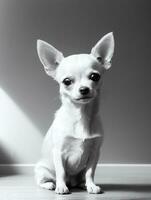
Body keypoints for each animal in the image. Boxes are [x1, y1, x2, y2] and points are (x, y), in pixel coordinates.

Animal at [34, 32, 114, 194]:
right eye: (67, 81)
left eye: (95, 77)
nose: (84, 89)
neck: (80, 115)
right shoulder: (58, 152)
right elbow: (61, 171)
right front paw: (61, 187)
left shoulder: (94, 153)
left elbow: (90, 172)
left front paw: (91, 185)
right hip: (41, 170)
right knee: (41, 180)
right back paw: (51, 184)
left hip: (79, 172)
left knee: (82, 177)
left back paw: (83, 184)